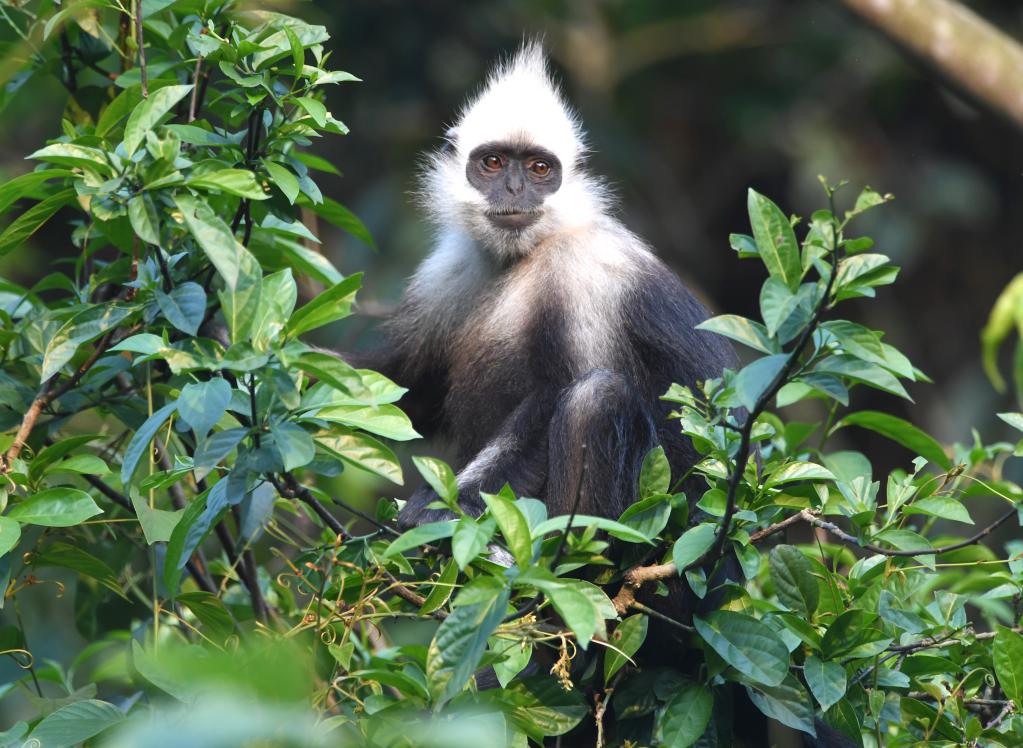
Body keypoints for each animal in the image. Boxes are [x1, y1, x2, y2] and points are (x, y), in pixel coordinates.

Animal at [351, 42, 736, 532]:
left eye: (539, 169)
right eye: (493, 163)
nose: (515, 188)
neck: (522, 256)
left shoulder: (584, 269)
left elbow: (554, 397)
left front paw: (445, 505)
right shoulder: (451, 268)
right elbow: (407, 391)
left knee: (596, 398)